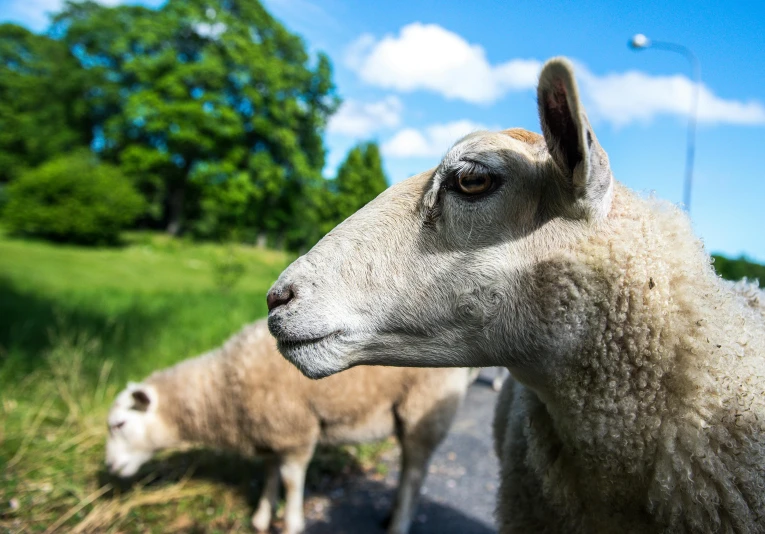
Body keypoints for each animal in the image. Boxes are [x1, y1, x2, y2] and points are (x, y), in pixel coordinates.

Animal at [103, 320, 472, 532]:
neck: (223, 389)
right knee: (411, 468)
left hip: (424, 411)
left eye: (120, 424)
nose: (108, 466)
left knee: (414, 472)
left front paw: (291, 523)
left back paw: (399, 523)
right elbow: (269, 475)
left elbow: (292, 481)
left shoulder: (296, 432)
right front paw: (262, 517)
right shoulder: (269, 431)